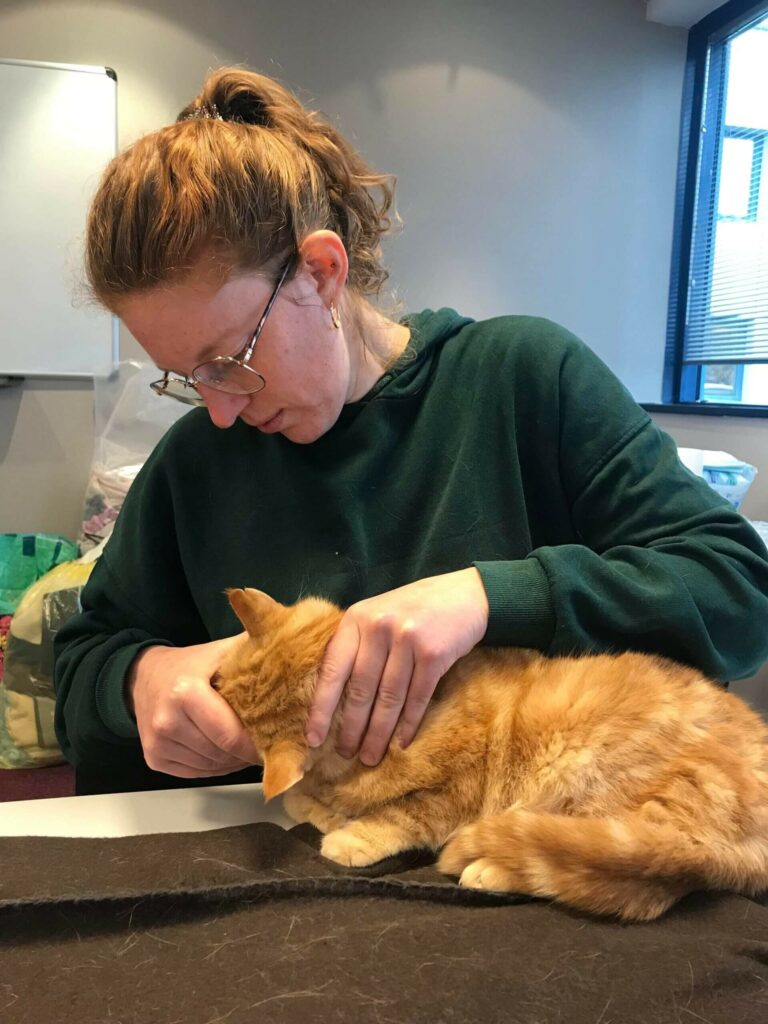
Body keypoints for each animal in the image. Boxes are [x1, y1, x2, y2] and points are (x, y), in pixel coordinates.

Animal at [215, 585, 768, 921]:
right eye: (218, 678)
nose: (210, 682)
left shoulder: (458, 790)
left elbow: (404, 814)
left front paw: (352, 833)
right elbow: (302, 799)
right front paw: (326, 809)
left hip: (606, 790)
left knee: (638, 878)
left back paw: (490, 869)